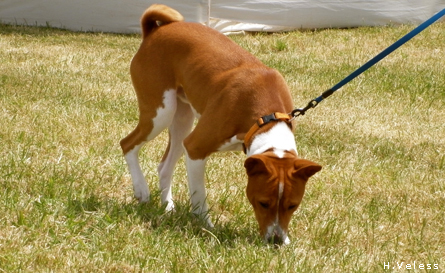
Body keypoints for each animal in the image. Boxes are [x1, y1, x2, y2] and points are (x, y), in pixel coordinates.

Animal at [119, 4, 320, 243]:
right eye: (263, 203)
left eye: (293, 205)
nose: (276, 241)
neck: (265, 117)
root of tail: (155, 31)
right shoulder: (195, 147)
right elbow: (199, 196)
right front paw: (205, 226)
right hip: (160, 114)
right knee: (127, 144)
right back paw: (141, 189)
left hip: (182, 120)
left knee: (164, 166)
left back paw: (167, 207)